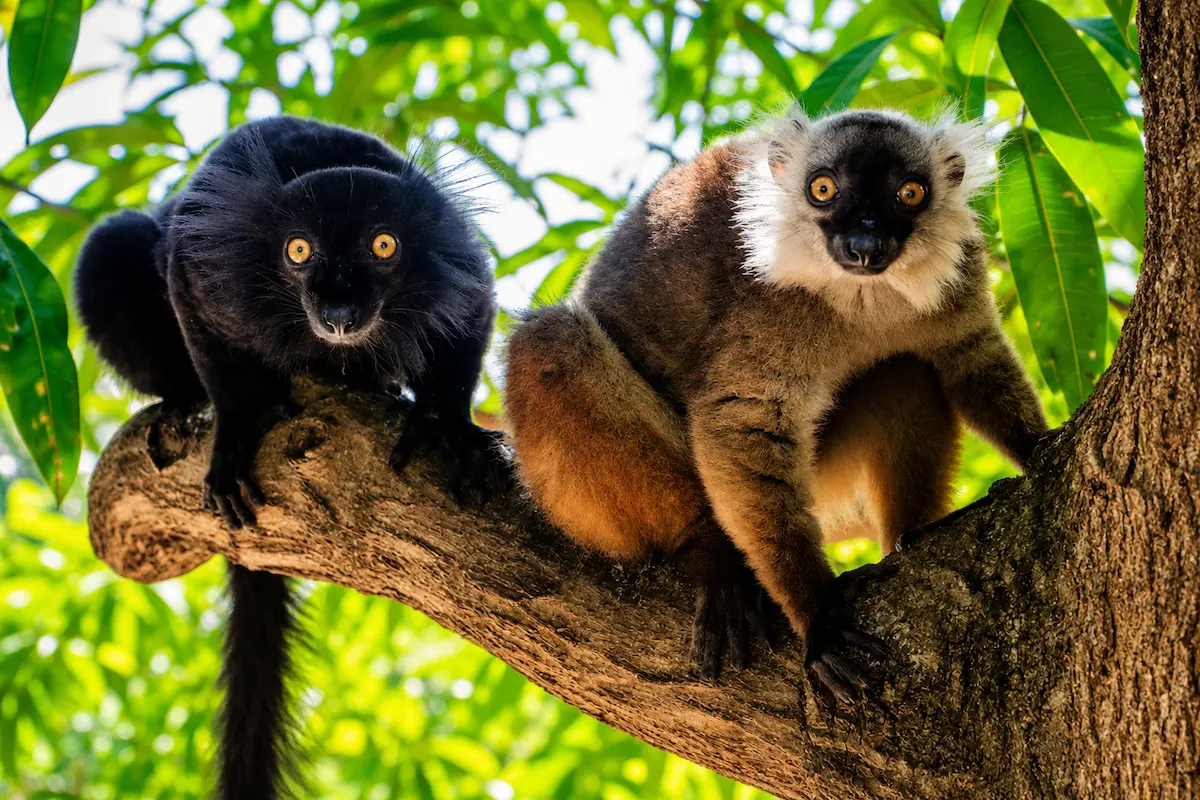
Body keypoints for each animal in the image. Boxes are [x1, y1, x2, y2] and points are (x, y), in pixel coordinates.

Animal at [74, 116, 505, 798]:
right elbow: (196, 313)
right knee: (112, 246)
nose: (339, 311)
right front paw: (235, 431)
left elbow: (468, 311)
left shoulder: (450, 263)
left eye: (383, 246)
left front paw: (448, 425)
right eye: (298, 251)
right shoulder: (211, 271)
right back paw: (187, 400)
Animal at [503, 107, 1048, 701]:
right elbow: (743, 422)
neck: (862, 297)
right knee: (548, 343)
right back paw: (708, 552)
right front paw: (819, 613)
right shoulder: (764, 307)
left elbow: (971, 357)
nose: (864, 245)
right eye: (823, 189)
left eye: (909, 193)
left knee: (903, 369)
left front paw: (1042, 449)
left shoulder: (961, 270)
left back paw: (911, 537)